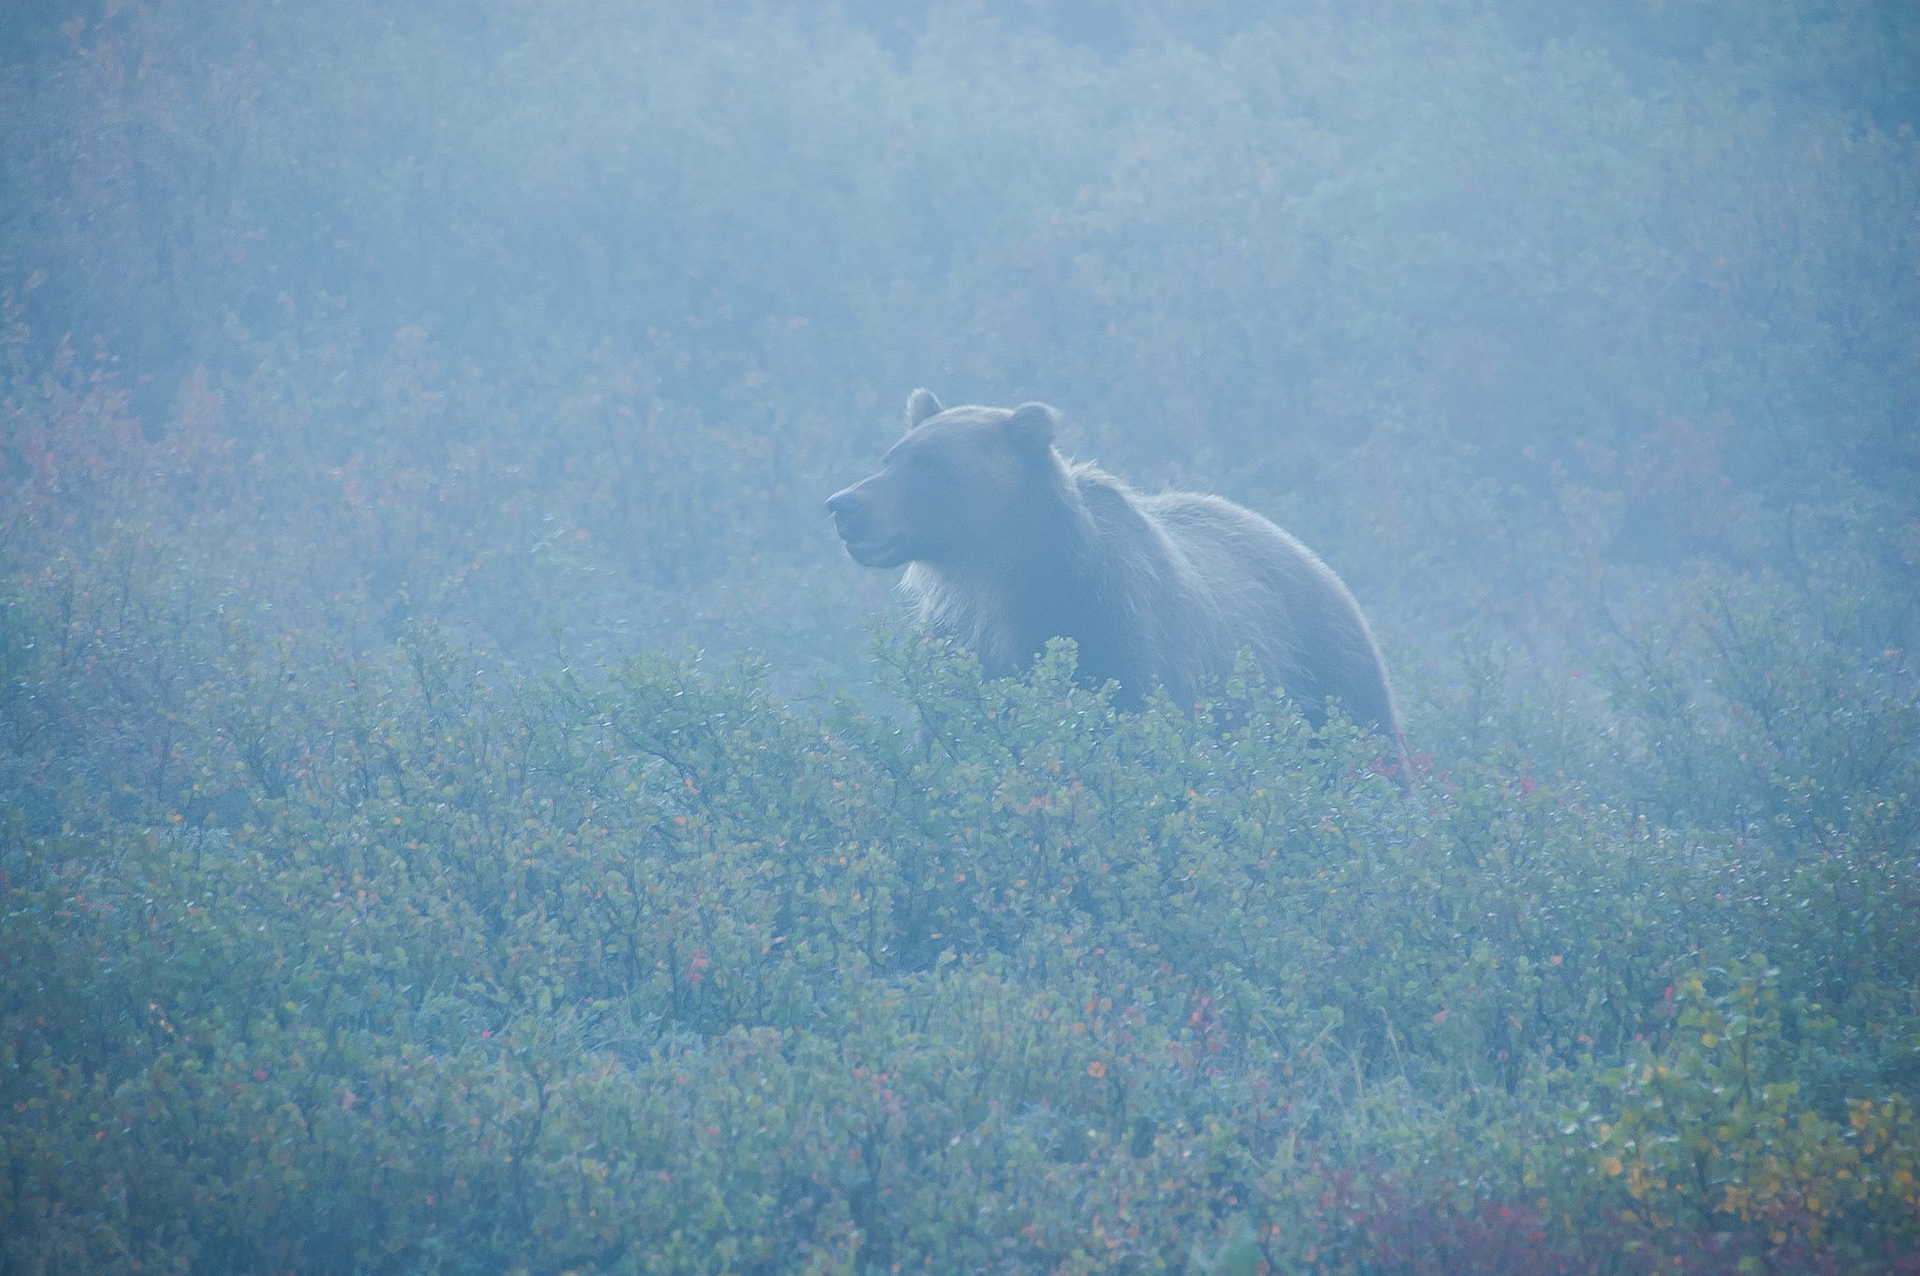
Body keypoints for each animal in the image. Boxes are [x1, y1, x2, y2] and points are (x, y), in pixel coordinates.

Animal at [826, 389, 1402, 744]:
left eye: (931, 465)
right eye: (890, 457)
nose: (842, 505)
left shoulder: (1116, 626)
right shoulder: (959, 647)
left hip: (1327, 669)